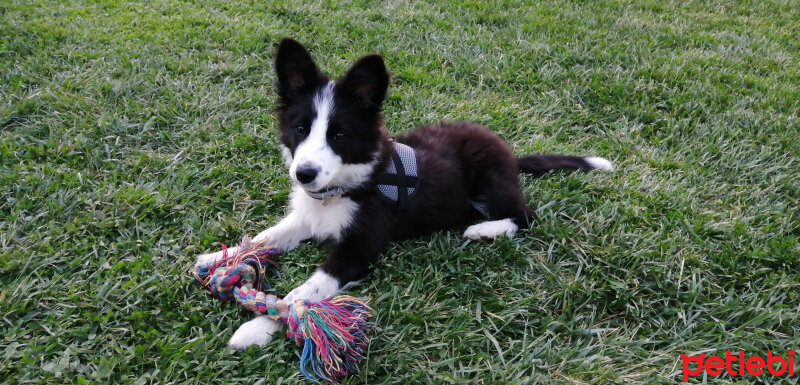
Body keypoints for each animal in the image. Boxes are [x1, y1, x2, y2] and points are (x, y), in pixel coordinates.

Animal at [195, 39, 612, 348]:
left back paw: (484, 230)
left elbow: (304, 292)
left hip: (490, 184)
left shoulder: (357, 249)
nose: (304, 174)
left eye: (339, 134)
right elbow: (266, 237)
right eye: (300, 128)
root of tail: (508, 152)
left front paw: (260, 325)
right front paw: (221, 258)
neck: (344, 186)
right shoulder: (305, 217)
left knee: (526, 216)